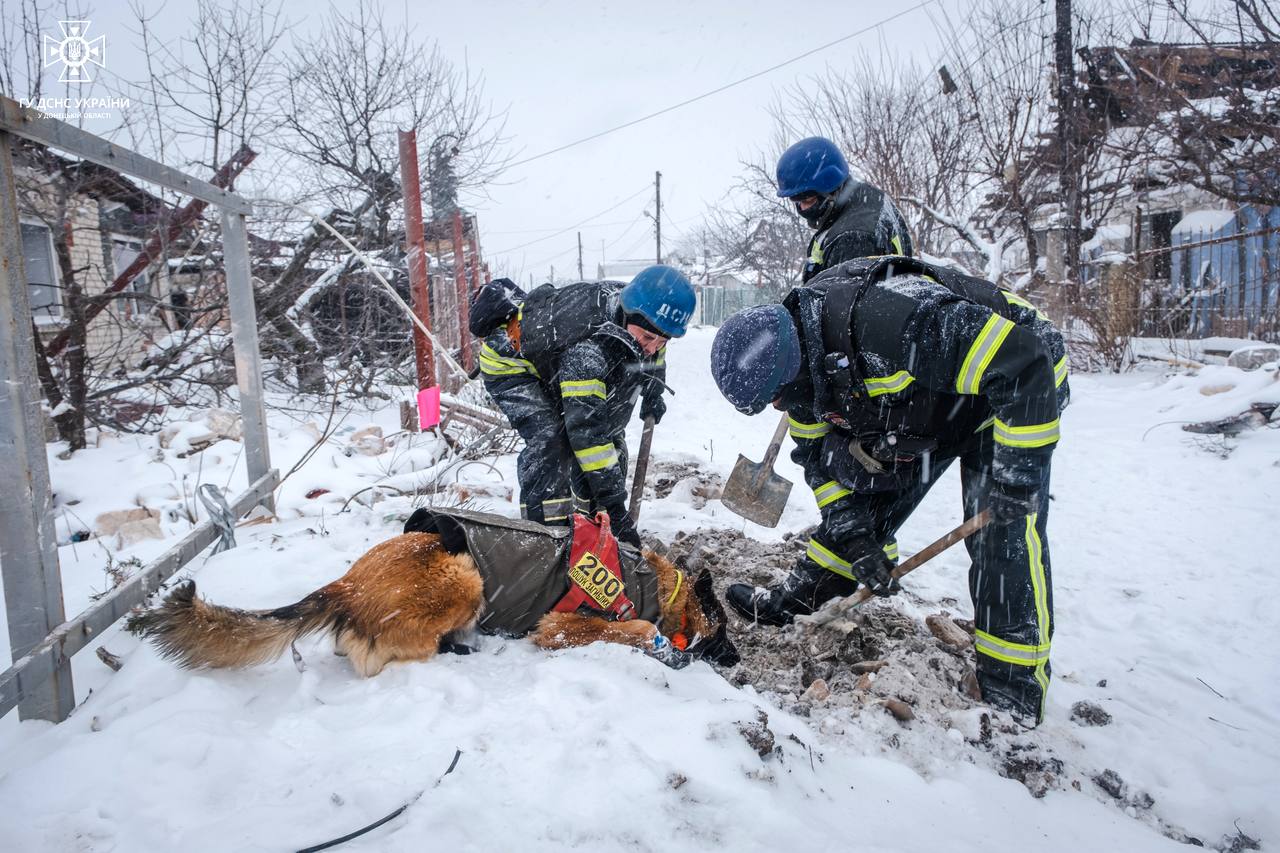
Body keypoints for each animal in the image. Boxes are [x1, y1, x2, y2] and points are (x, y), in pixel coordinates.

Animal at [129, 507, 742, 676]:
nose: (737, 660)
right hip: (464, 576)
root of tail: (346, 586)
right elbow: (631, 628)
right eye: (725, 633)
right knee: (386, 654)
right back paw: (456, 648)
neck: (659, 586)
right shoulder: (560, 627)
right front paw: (657, 643)